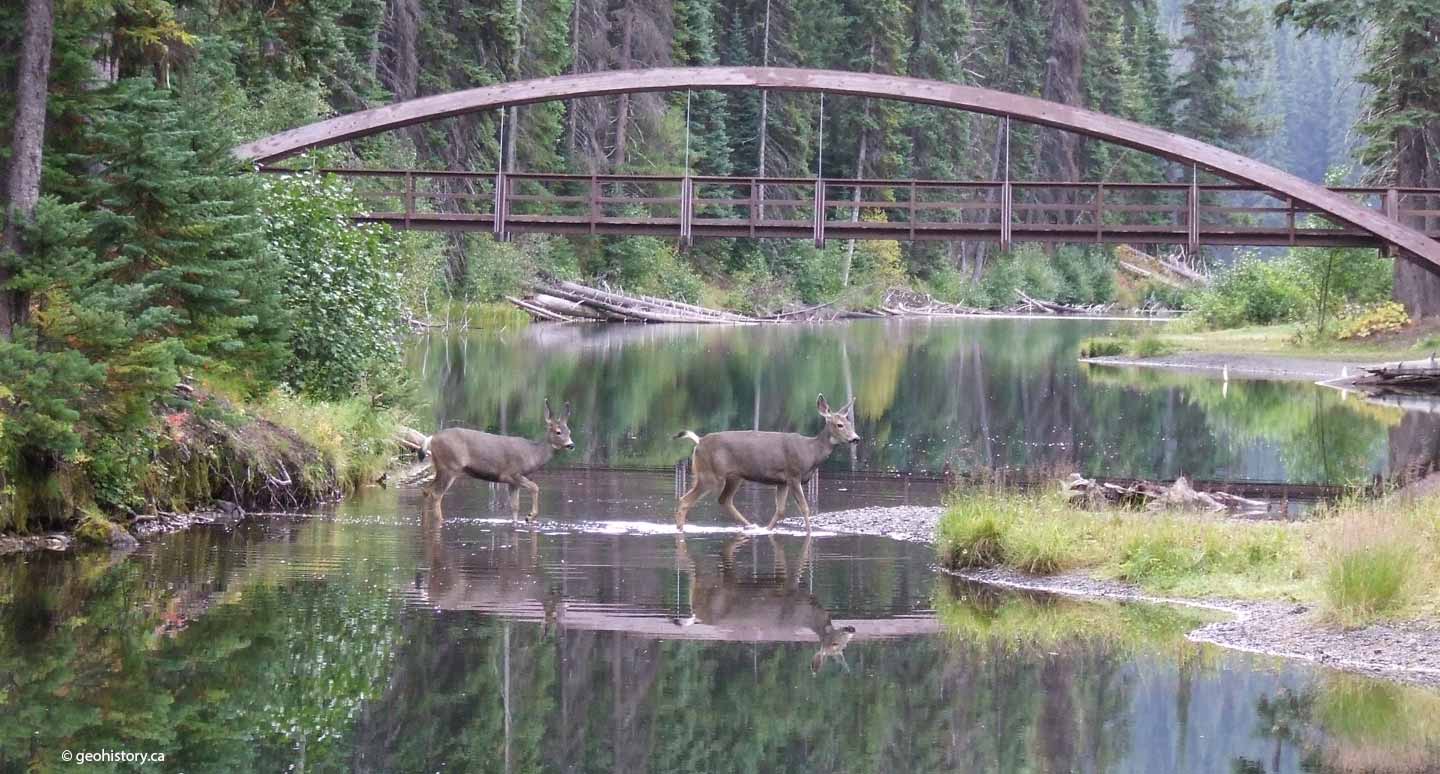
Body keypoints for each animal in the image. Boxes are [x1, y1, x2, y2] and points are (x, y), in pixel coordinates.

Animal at [417, 397, 573, 517]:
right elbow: (535, 487)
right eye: (558, 432)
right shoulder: (511, 473)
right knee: (436, 495)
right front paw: (530, 516)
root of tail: (431, 438)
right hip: (450, 466)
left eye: (569, 431)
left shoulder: (513, 482)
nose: (571, 445)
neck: (532, 453)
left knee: (426, 490)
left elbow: (515, 506)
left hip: (440, 467)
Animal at [671, 391, 858, 529]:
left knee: (724, 500)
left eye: (851, 424)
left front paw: (768, 530)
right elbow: (804, 508)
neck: (811, 452)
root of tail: (699, 441)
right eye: (839, 425)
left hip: (734, 476)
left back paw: (751, 526)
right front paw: (809, 534)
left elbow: (780, 511)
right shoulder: (793, 475)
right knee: (684, 500)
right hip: (709, 474)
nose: (856, 438)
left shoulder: (782, 481)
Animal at [673, 532, 852, 670]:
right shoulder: (789, 589)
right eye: (835, 644)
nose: (851, 629)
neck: (809, 612)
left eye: (845, 645)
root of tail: (697, 614)